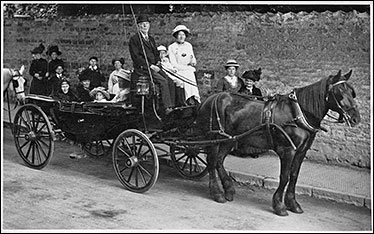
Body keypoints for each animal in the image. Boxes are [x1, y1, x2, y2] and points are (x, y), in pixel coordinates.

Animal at [194, 69, 360, 216]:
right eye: (339, 93)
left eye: (352, 92)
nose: (355, 118)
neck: (298, 113)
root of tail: (209, 98)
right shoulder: (288, 150)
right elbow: (284, 177)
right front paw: (279, 205)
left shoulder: (301, 150)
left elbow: (294, 175)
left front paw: (293, 203)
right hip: (214, 138)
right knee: (211, 162)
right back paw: (217, 193)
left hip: (230, 139)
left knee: (219, 161)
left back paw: (228, 190)